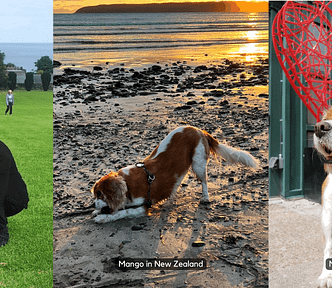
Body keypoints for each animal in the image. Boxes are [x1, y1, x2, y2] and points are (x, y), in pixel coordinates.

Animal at [91, 125, 260, 223]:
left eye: (99, 194)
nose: (93, 204)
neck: (127, 185)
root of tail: (199, 130)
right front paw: (99, 211)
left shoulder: (144, 206)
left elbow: (122, 213)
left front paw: (102, 217)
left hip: (198, 164)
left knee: (204, 181)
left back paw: (205, 197)